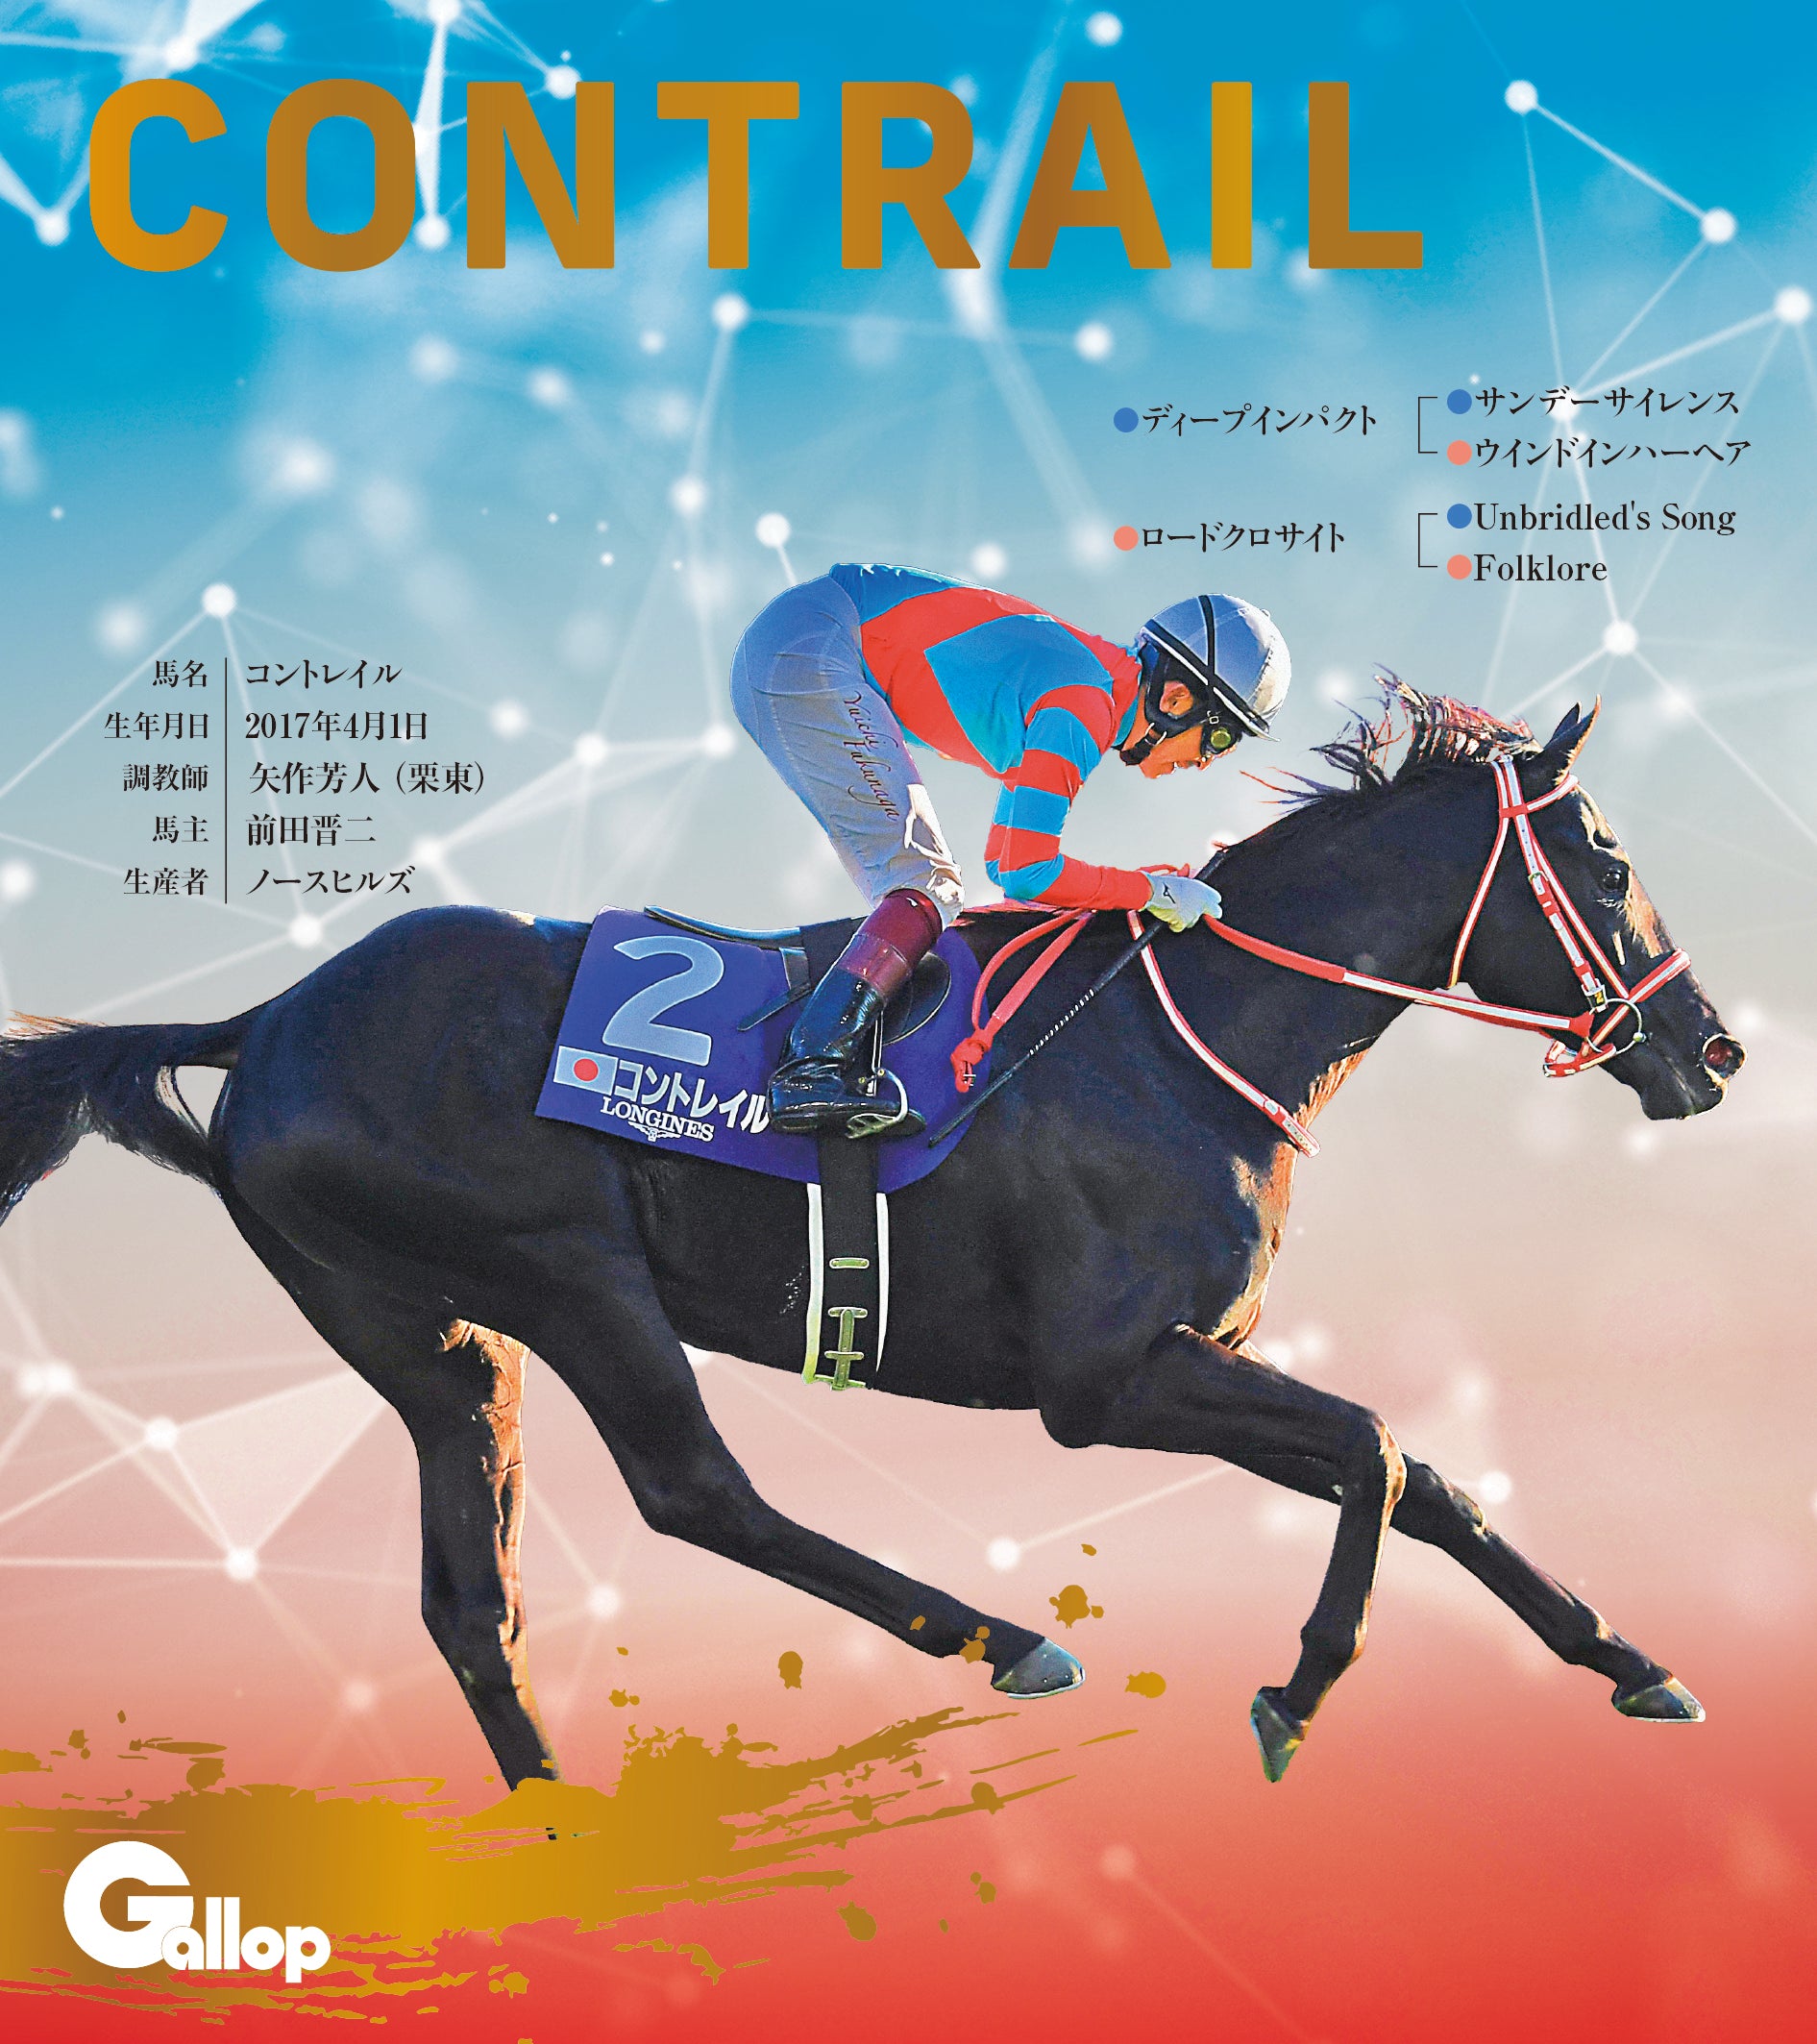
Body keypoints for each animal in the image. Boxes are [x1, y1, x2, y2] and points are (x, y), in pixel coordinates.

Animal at [0, 690, 1744, 1786]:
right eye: (1604, 860)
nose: (1714, 1049)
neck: (1184, 1035)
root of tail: (270, 1014)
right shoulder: (1104, 1379)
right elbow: (1377, 1446)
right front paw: (1298, 1687)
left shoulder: (1188, 1359)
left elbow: (1425, 1475)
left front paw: (1626, 1657)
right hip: (572, 1273)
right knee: (695, 1491)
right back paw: (1002, 1640)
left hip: (437, 1343)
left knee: (470, 1601)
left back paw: (556, 1818)